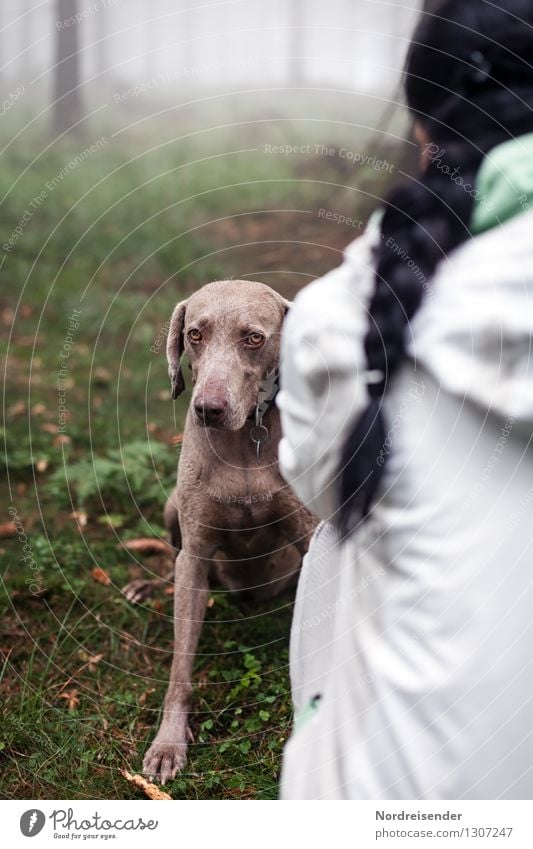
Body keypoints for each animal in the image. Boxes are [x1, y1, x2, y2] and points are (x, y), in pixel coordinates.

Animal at [124, 282, 316, 784]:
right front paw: (168, 744)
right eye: (195, 334)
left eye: (254, 338)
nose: (208, 409)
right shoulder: (194, 557)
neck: (245, 443)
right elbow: (180, 668)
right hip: (174, 509)